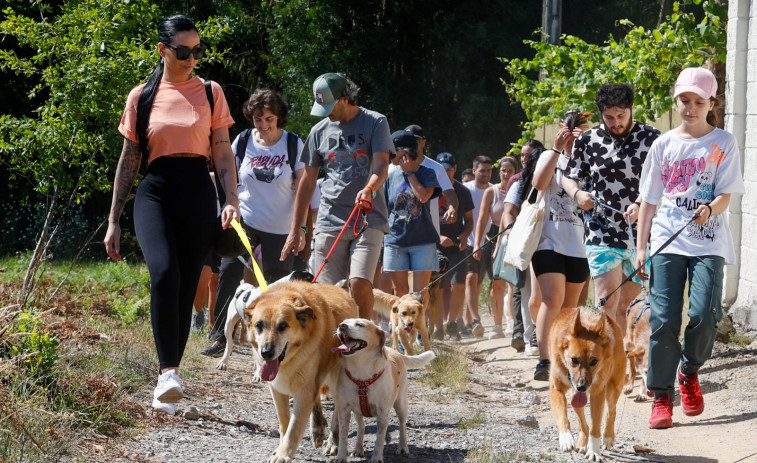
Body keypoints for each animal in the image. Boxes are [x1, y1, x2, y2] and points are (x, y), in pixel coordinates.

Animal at [244, 280, 358, 462]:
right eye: (259, 325)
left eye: (283, 326)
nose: (266, 353)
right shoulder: (278, 389)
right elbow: (285, 421)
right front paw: (281, 448)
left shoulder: (304, 391)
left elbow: (294, 428)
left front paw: (283, 454)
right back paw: (318, 428)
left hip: (335, 381)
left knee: (338, 414)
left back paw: (332, 442)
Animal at [328, 320, 434, 463]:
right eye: (344, 322)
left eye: (359, 324)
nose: (341, 326)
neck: (361, 370)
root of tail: (396, 352)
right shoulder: (344, 409)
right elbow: (343, 436)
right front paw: (341, 457)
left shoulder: (383, 413)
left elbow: (380, 437)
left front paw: (377, 457)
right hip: (357, 412)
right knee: (361, 426)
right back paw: (358, 449)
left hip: (401, 405)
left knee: (402, 425)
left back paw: (403, 447)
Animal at [548, 306, 628, 462]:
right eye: (574, 360)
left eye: (594, 361)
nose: (581, 387)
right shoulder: (556, 389)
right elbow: (562, 415)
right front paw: (566, 438)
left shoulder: (597, 393)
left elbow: (595, 427)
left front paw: (594, 451)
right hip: (575, 400)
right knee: (583, 424)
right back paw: (581, 443)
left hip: (614, 387)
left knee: (611, 412)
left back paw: (608, 437)